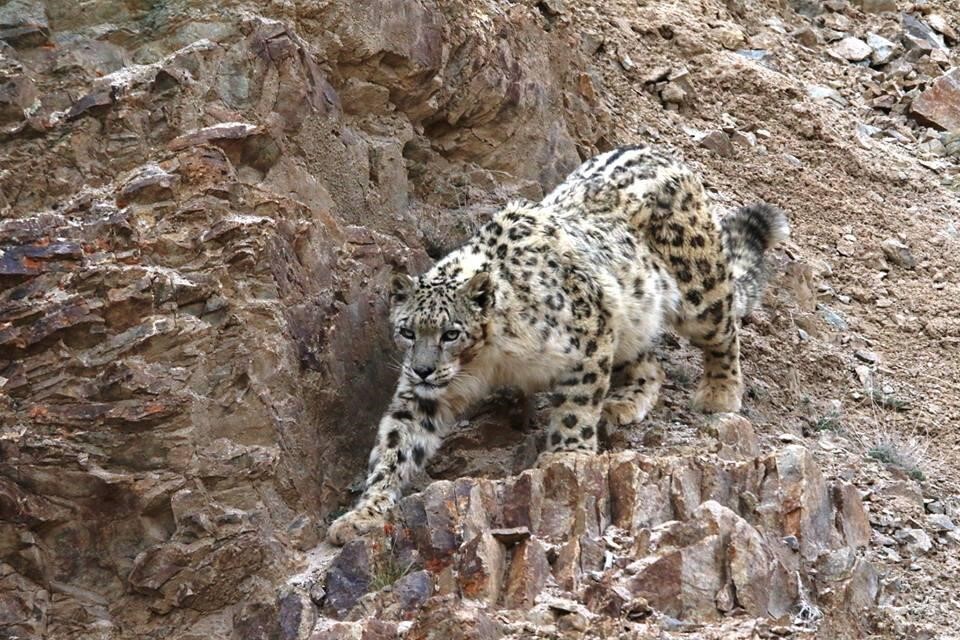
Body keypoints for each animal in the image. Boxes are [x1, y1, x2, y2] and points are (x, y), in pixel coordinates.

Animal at [326, 144, 789, 545]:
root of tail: (660, 151)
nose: (422, 369)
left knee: (724, 329)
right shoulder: (423, 397)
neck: (487, 360)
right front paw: (363, 513)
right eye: (407, 331)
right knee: (650, 364)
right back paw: (625, 401)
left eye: (450, 333)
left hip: (698, 290)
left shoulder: (589, 334)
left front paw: (567, 455)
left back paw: (719, 391)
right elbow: (396, 443)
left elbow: (576, 406)